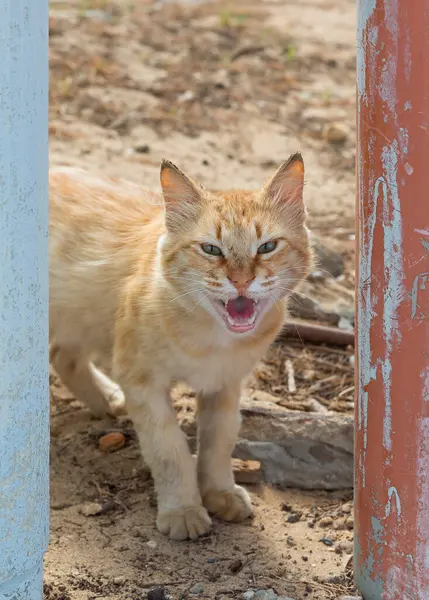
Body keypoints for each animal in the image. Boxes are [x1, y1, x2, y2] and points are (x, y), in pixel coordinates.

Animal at [49, 154, 310, 540]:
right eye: (211, 249)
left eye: (267, 247)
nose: (241, 281)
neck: (212, 341)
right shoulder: (141, 382)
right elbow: (169, 450)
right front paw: (183, 510)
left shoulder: (226, 386)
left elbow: (218, 443)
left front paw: (220, 493)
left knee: (62, 355)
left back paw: (109, 400)